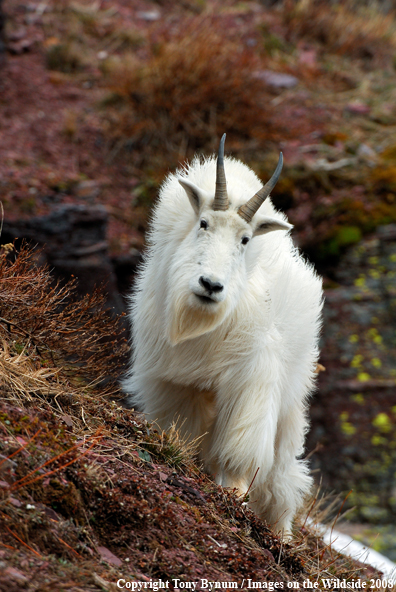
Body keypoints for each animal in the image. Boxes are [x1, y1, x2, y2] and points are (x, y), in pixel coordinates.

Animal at [123, 136, 322, 536]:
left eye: (244, 239)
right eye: (203, 223)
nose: (210, 285)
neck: (201, 323)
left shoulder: (252, 380)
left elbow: (240, 450)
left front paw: (232, 493)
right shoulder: (179, 382)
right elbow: (184, 431)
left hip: (290, 404)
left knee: (282, 478)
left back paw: (280, 533)